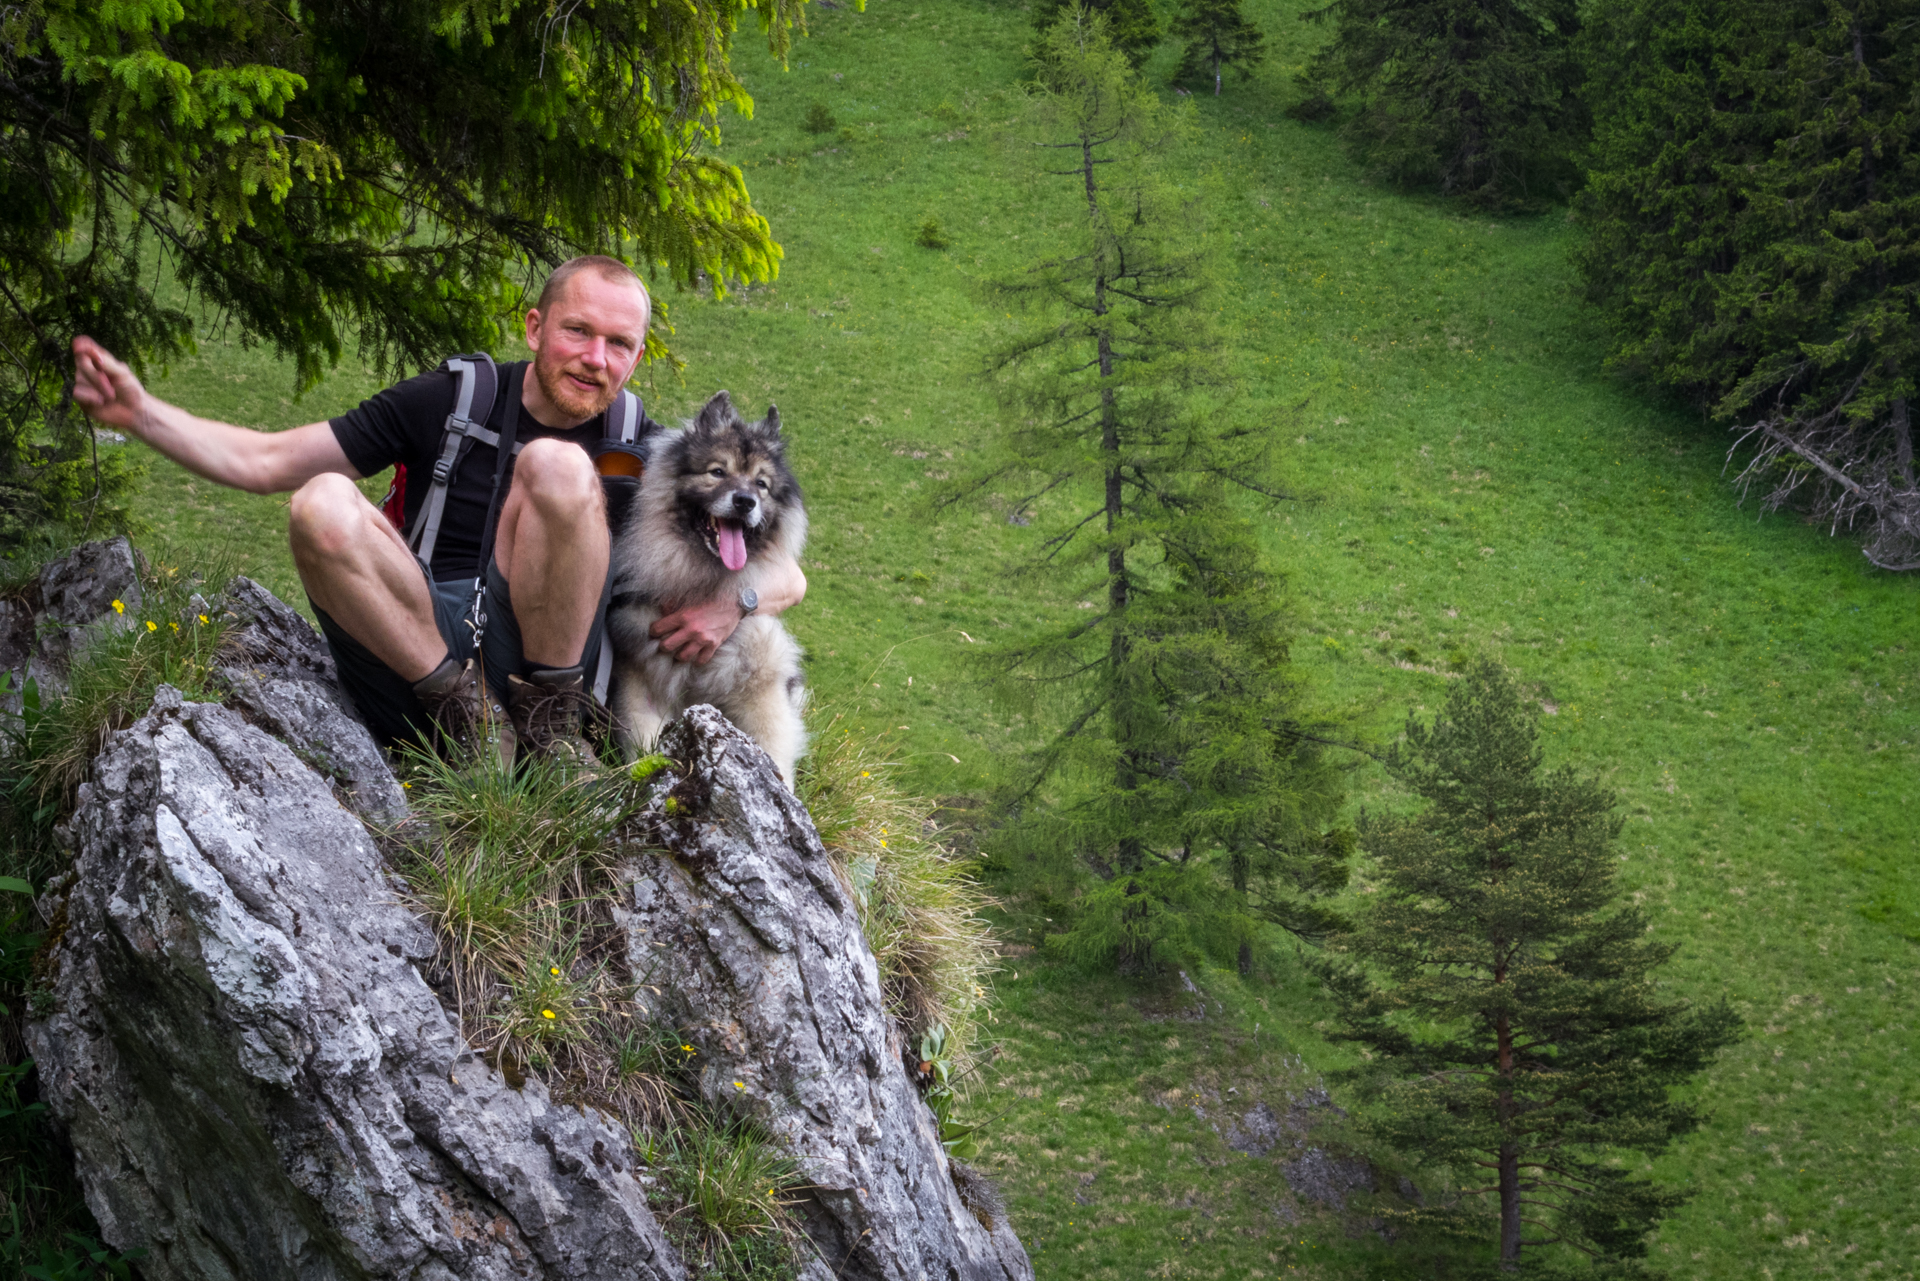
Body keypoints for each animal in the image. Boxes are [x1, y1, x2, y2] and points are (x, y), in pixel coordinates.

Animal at [602, 391, 806, 787]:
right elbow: (645, 744)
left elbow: (773, 750)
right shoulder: (640, 678)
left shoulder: (761, 691)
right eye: (717, 472)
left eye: (761, 484)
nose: (745, 501)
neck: (700, 580)